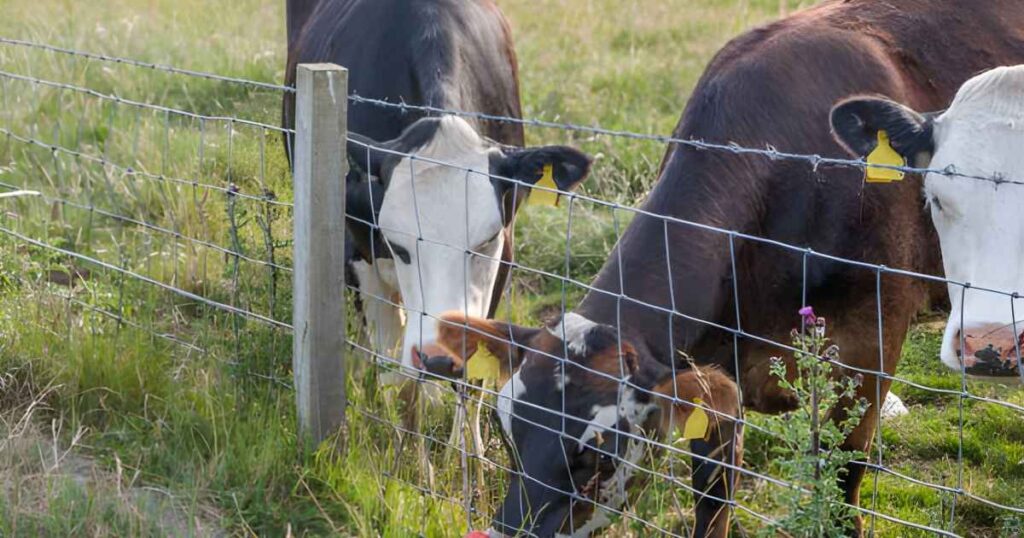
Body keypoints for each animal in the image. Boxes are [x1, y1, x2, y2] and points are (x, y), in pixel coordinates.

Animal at [282, 0, 593, 379]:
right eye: (398, 247)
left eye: (485, 241)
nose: (441, 358)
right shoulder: (356, 249)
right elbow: (391, 365)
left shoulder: (503, 252)